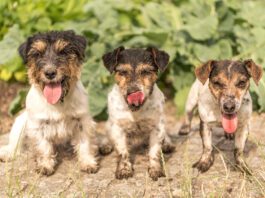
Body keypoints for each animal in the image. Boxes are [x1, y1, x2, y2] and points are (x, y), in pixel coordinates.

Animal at [0, 29, 98, 175]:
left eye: (63, 52)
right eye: (37, 54)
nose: (50, 73)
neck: (58, 103)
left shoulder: (83, 121)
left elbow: (85, 143)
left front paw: (87, 163)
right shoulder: (37, 125)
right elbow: (43, 146)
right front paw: (45, 165)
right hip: (20, 123)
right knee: (15, 143)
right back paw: (7, 153)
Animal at [102, 46, 174, 181]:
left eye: (146, 71)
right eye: (123, 72)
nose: (133, 92)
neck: (135, 111)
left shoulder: (157, 127)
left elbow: (154, 151)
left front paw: (155, 169)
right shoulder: (118, 128)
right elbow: (122, 151)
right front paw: (124, 169)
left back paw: (167, 143)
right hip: (110, 124)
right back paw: (105, 144)